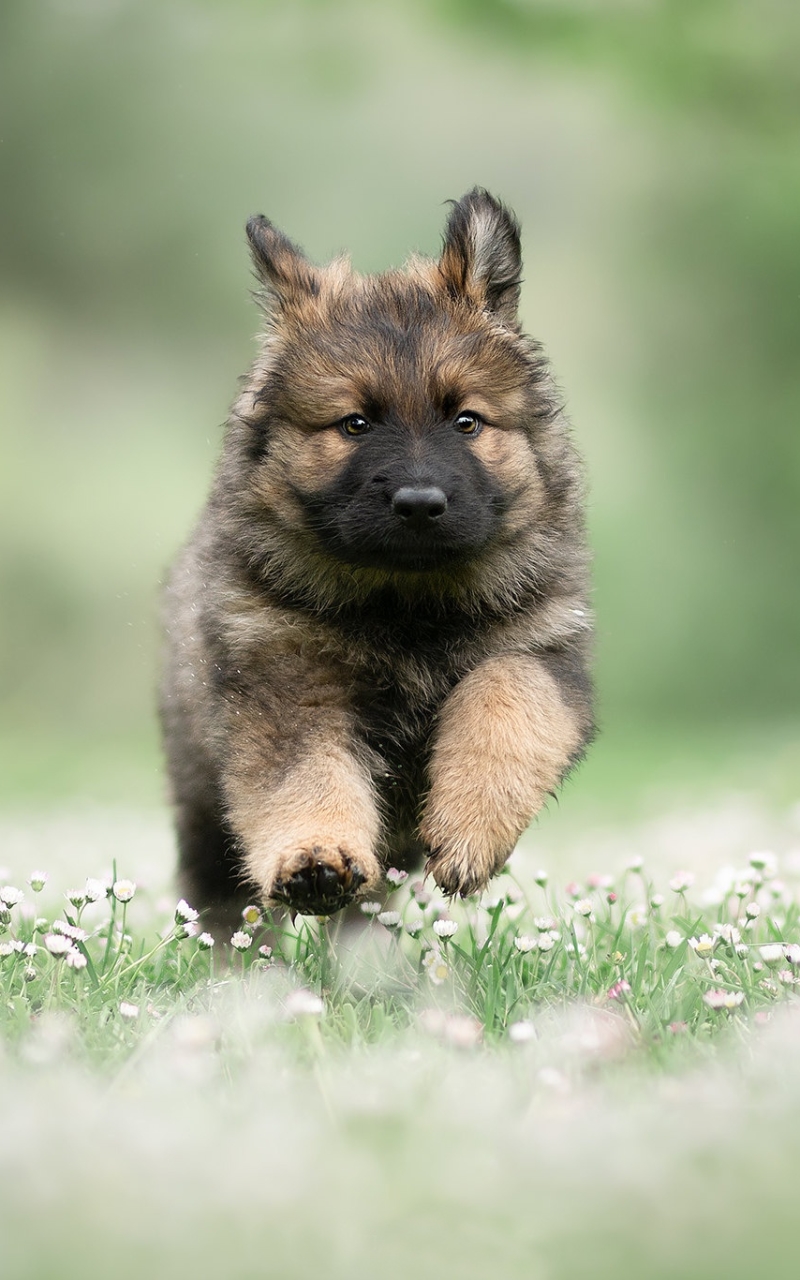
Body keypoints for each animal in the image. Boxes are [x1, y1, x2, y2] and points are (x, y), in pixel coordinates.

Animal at [159, 185, 593, 921]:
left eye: (466, 421)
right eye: (354, 423)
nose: (419, 504)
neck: (407, 603)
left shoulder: (541, 651)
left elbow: (507, 703)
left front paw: (470, 830)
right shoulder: (285, 686)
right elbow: (305, 777)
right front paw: (314, 858)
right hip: (201, 803)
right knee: (223, 900)